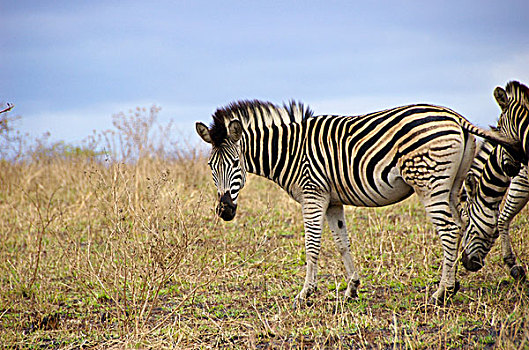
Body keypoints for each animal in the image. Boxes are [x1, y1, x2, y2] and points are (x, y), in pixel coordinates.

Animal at [196, 99, 512, 304]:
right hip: (452, 185)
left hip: (429, 184)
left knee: (448, 229)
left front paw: (305, 294)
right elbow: (341, 243)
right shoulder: (332, 201)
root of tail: (455, 116)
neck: (290, 151)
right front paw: (352, 289)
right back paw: (454, 284)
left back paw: (441, 293)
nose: (224, 210)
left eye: (236, 163)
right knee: (462, 223)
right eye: (210, 166)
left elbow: (312, 246)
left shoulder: (313, 195)